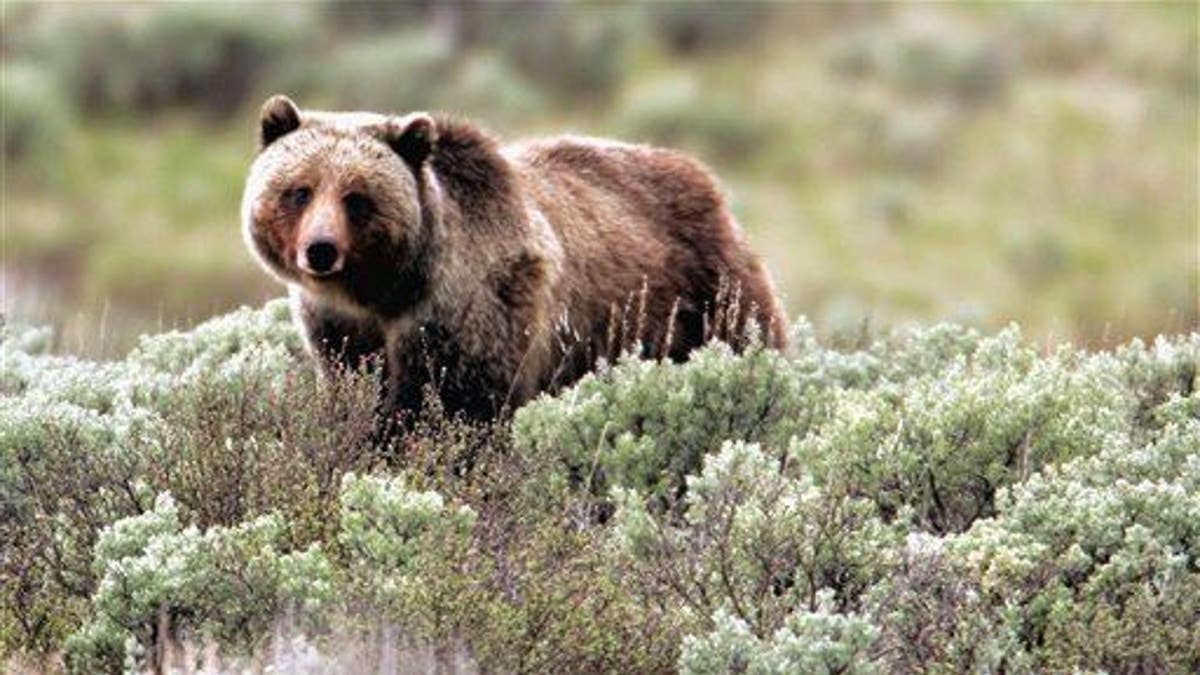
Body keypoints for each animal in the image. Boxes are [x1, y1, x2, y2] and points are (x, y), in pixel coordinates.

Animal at [242, 95, 787, 422]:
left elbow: (457, 402)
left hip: (704, 296)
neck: (386, 289)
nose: (321, 250)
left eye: (357, 197)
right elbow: (356, 386)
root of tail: (707, 179)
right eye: (300, 190)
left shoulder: (472, 305)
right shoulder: (340, 327)